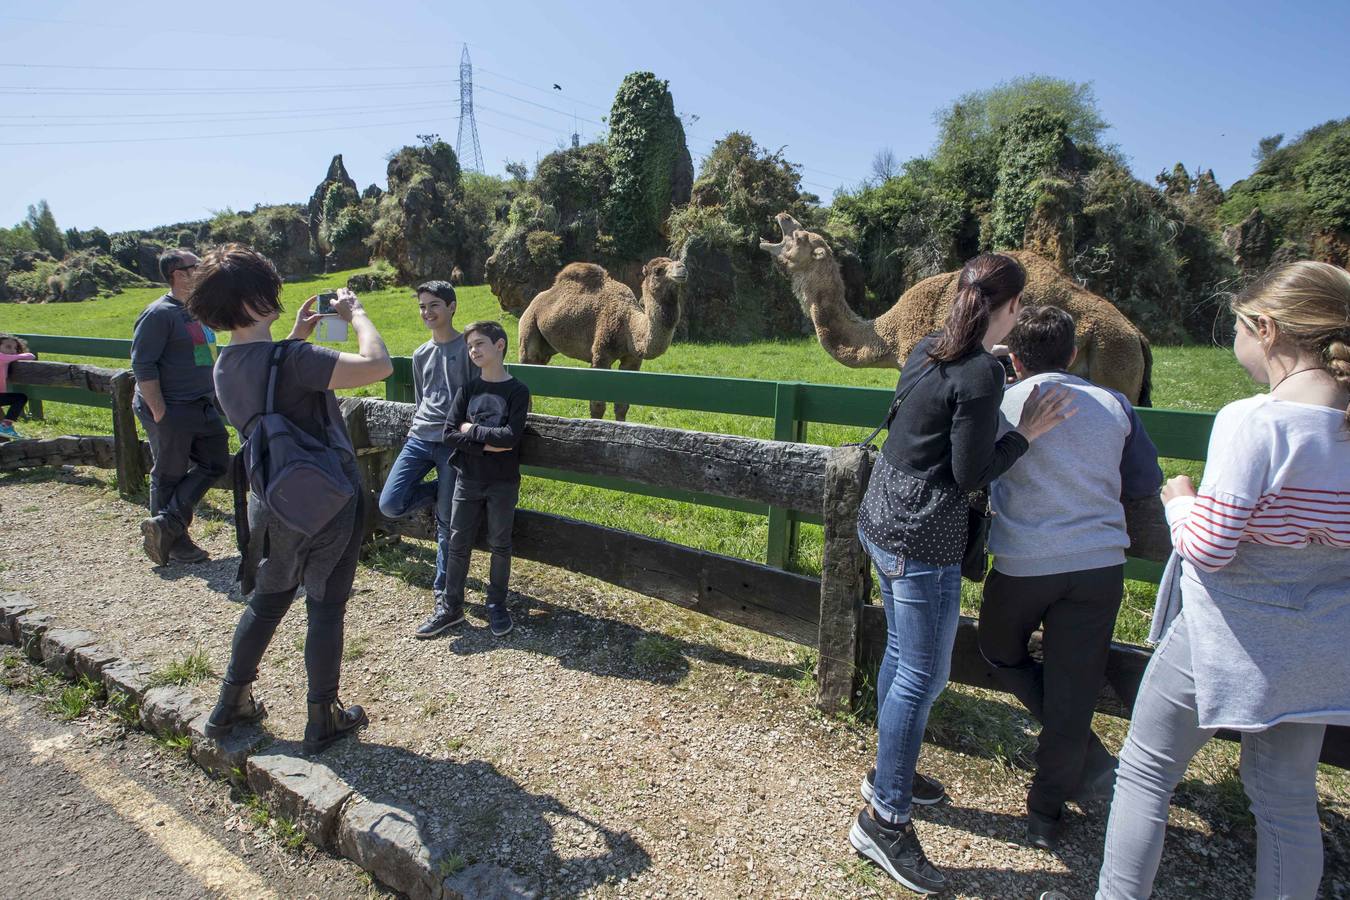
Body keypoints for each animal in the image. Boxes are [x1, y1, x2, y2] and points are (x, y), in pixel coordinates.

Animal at [515, 256, 685, 418]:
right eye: (658, 270)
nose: (682, 267)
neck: (629, 326)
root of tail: (535, 300)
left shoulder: (632, 361)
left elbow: (622, 407)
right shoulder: (601, 355)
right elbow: (597, 406)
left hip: (546, 348)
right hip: (529, 327)